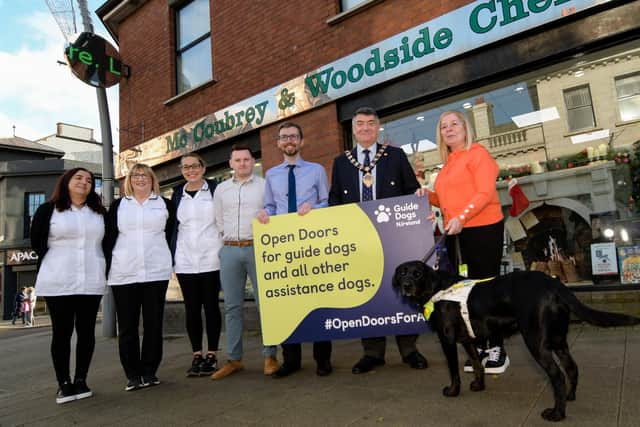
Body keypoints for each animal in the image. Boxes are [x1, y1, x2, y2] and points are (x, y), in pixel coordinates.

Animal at [392, 262, 636, 422]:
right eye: (403, 272)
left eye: (417, 273)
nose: (406, 285)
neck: (437, 287)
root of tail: (555, 284)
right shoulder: (468, 340)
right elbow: (478, 364)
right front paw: (479, 386)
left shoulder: (447, 339)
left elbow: (454, 372)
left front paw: (452, 391)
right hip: (558, 340)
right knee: (571, 368)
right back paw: (569, 396)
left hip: (536, 341)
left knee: (557, 375)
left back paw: (557, 414)